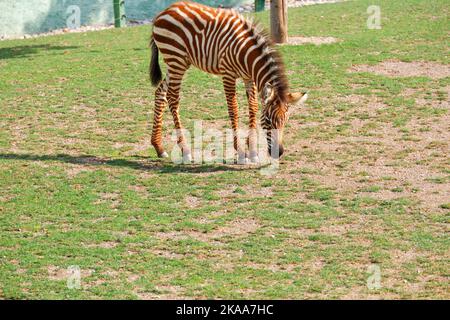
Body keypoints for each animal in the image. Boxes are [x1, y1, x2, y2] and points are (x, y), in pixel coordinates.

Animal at [149, 1, 308, 164]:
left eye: (286, 120)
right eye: (269, 121)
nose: (279, 153)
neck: (246, 54)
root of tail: (165, 11)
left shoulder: (249, 78)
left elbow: (253, 107)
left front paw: (252, 152)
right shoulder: (228, 75)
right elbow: (234, 109)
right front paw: (241, 152)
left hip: (177, 63)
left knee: (160, 92)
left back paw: (158, 147)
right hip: (176, 60)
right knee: (173, 98)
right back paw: (185, 151)